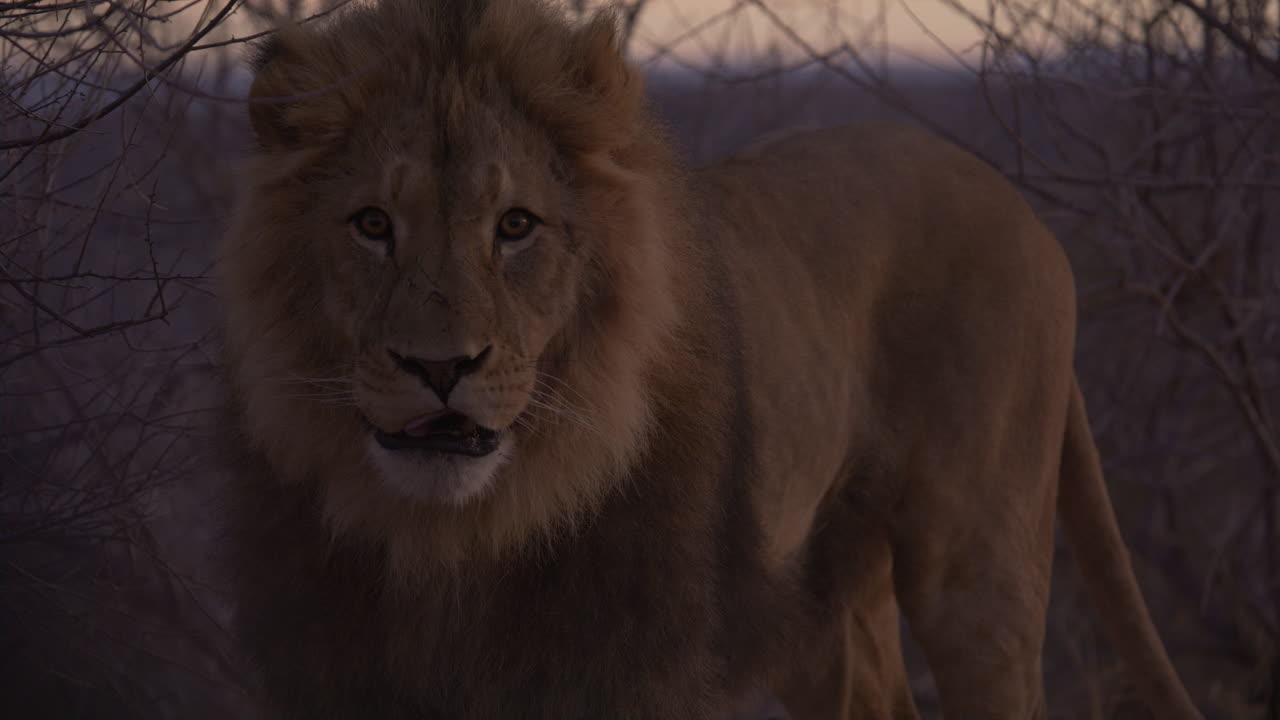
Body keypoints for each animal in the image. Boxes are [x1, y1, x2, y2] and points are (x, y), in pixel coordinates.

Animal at [217, 1, 1204, 718]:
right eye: (372, 225)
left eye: (516, 226)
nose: (439, 366)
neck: (459, 543)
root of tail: (1020, 204)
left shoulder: (636, 674)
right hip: (820, 599)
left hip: (978, 579)